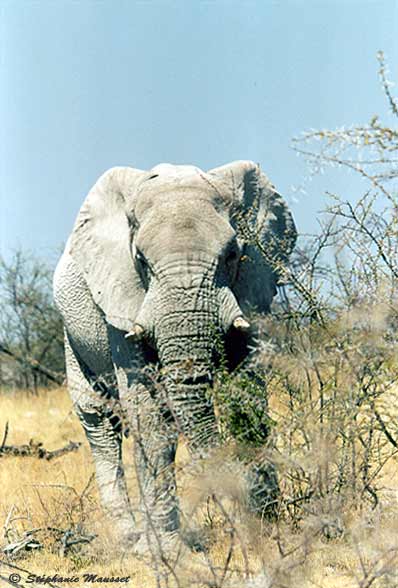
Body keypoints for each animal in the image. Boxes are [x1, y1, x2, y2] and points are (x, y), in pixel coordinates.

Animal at [53, 158, 296, 548]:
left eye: (232, 255)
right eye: (140, 260)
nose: (242, 517)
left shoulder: (251, 288)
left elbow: (248, 395)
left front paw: (270, 524)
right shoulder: (122, 304)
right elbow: (150, 414)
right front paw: (169, 548)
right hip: (71, 332)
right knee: (99, 419)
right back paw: (130, 539)